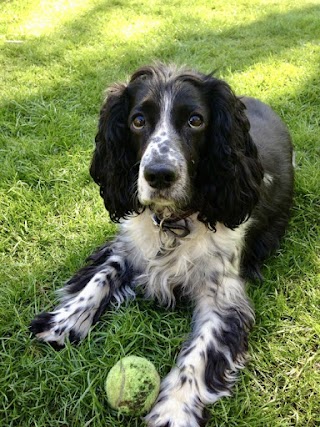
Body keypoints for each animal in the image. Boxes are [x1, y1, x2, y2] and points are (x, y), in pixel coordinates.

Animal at [31, 64, 294, 427]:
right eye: (138, 120)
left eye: (195, 120)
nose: (159, 174)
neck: (174, 223)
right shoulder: (129, 245)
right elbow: (101, 277)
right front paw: (65, 322)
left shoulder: (223, 297)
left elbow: (198, 354)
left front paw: (174, 411)